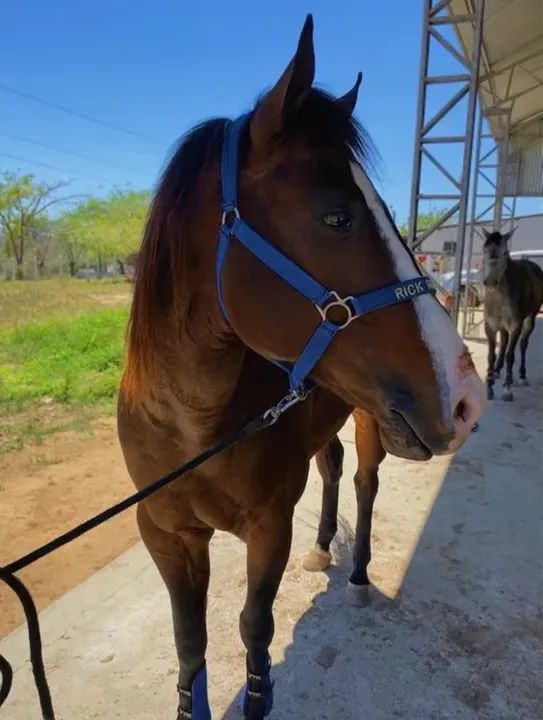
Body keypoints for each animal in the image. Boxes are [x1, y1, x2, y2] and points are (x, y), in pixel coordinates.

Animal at [117, 16, 485, 720]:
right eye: (336, 216)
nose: (466, 398)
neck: (194, 423)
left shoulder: (268, 526)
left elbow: (253, 633)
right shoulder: (167, 535)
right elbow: (189, 645)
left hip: (371, 421)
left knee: (364, 482)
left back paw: (360, 573)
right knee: (333, 466)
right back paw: (322, 548)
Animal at [482, 228, 543, 401]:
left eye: (505, 252)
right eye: (484, 250)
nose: (490, 282)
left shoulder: (516, 325)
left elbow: (511, 354)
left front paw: (507, 388)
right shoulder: (490, 325)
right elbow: (491, 354)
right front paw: (489, 387)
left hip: (531, 317)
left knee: (522, 344)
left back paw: (522, 376)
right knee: (503, 342)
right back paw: (497, 370)